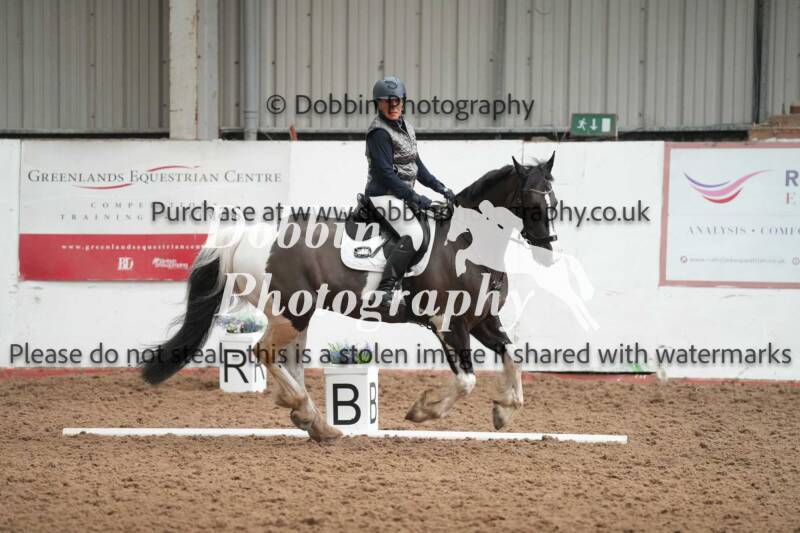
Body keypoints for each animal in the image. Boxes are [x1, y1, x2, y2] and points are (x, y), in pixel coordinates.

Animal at [141, 154, 558, 442]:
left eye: (555, 202)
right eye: (533, 202)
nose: (548, 253)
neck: (466, 246)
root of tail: (244, 236)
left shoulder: (483, 320)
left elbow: (514, 358)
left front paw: (505, 411)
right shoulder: (448, 324)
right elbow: (467, 380)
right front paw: (424, 411)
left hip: (298, 314)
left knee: (288, 361)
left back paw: (315, 422)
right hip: (290, 312)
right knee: (263, 352)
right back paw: (304, 411)